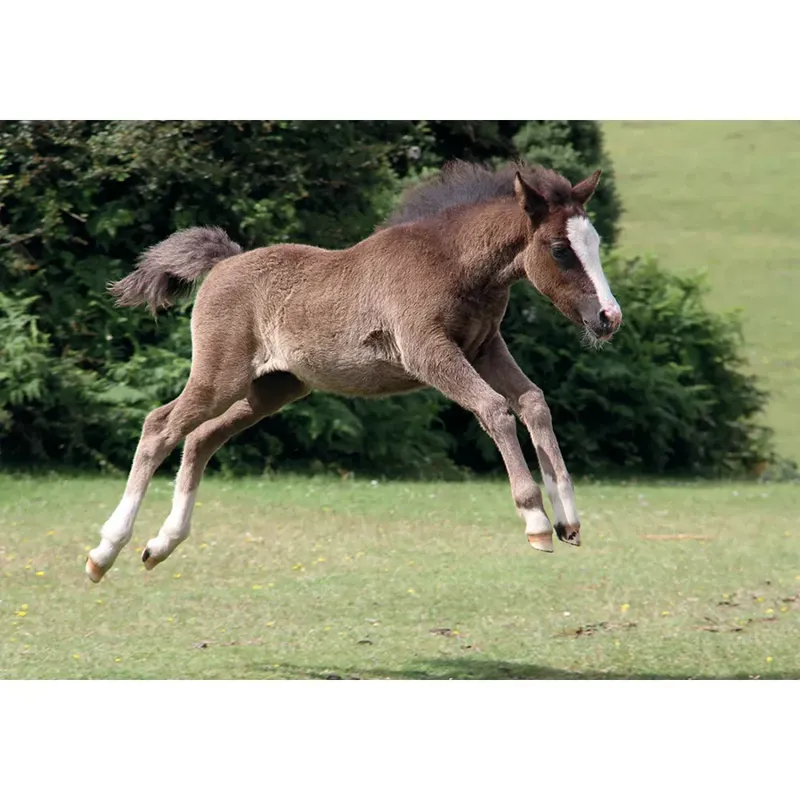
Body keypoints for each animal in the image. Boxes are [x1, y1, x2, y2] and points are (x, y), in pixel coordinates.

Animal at [85, 161, 622, 583]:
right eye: (559, 249)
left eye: (594, 243)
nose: (609, 318)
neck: (453, 264)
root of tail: (225, 263)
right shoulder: (428, 353)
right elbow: (494, 409)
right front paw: (535, 521)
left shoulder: (486, 348)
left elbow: (533, 402)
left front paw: (568, 518)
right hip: (220, 377)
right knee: (160, 426)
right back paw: (104, 551)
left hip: (272, 389)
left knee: (199, 439)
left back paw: (160, 545)